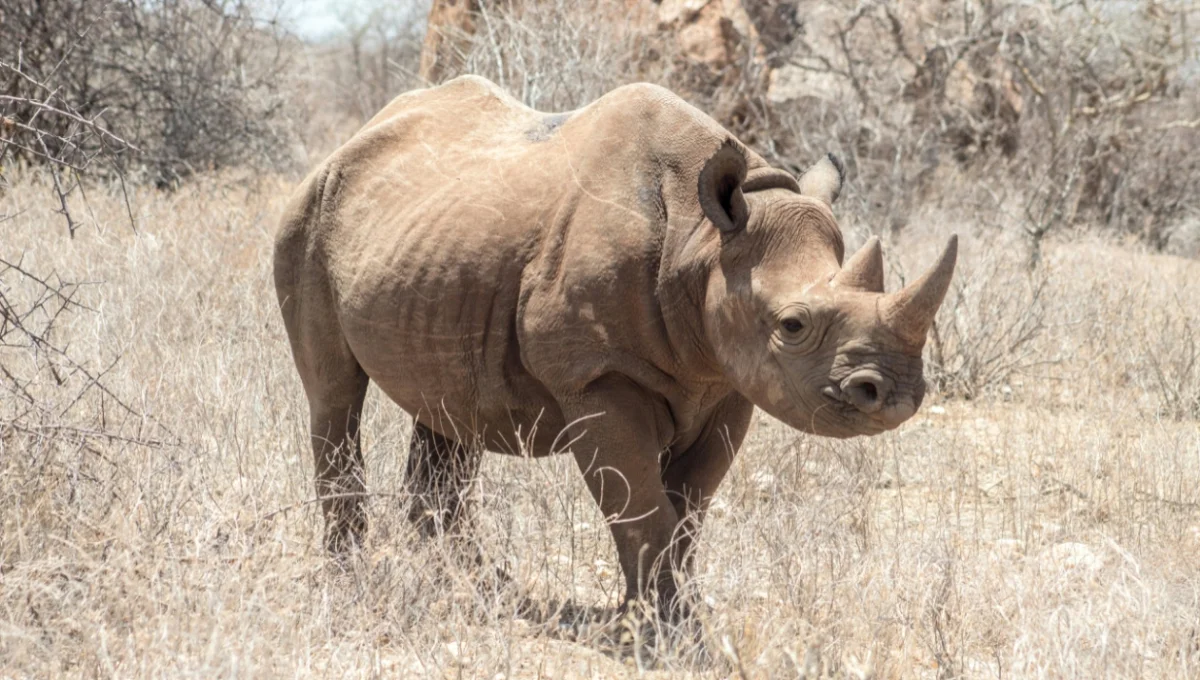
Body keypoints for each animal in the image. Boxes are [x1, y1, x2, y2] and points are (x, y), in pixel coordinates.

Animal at [273, 75, 956, 620]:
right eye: (792, 325)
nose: (895, 394)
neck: (702, 242)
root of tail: (351, 141)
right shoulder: (597, 378)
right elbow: (641, 507)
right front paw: (664, 631)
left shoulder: (727, 380)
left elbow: (686, 512)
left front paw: (660, 615)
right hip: (306, 218)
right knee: (333, 393)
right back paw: (353, 580)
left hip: (436, 251)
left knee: (447, 409)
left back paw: (478, 587)